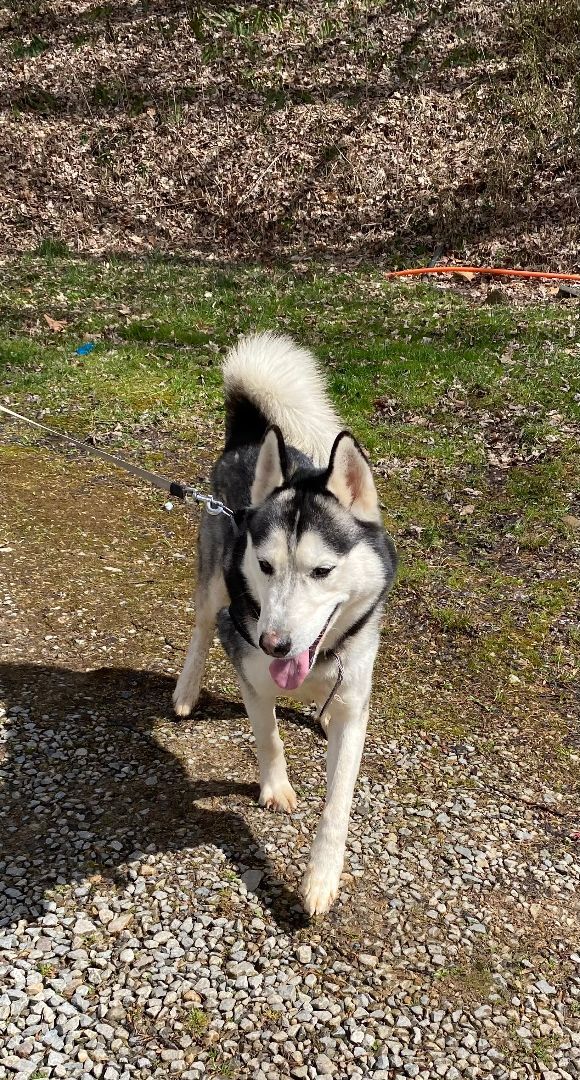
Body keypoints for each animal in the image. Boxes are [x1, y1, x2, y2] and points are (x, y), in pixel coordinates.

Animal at [173, 332, 395, 915]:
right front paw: (275, 786)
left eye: (322, 571)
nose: (274, 644)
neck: (321, 660)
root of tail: (251, 436)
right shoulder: (248, 665)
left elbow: (338, 801)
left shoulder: (355, 703)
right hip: (213, 586)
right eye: (266, 565)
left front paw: (321, 877)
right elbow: (267, 731)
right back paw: (186, 690)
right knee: (200, 627)